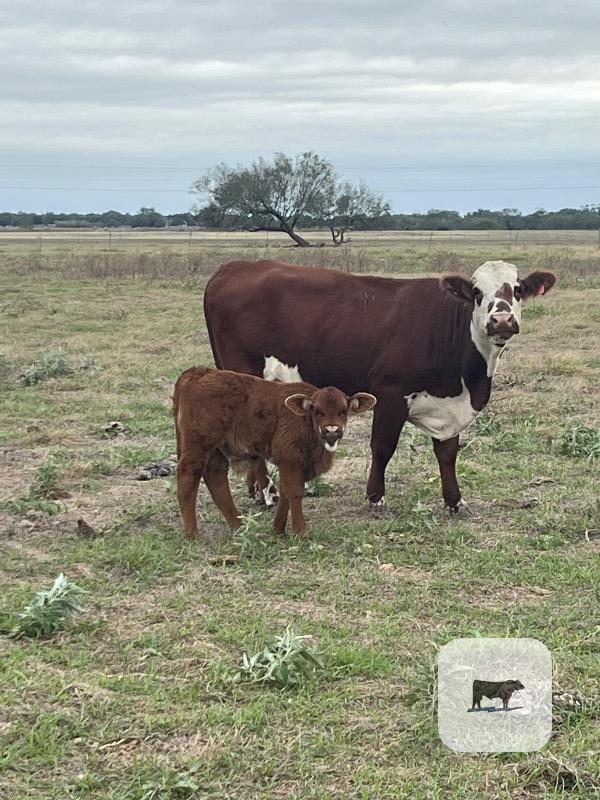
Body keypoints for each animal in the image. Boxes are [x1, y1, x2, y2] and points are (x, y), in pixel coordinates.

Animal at [173, 366, 376, 539]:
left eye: (344, 411)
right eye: (317, 410)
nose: (332, 430)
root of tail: (197, 372)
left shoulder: (291, 464)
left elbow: (285, 491)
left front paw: (278, 528)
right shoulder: (291, 460)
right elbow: (294, 492)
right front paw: (300, 532)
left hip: (217, 449)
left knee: (216, 477)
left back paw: (237, 526)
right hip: (198, 446)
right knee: (188, 476)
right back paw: (193, 533)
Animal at [203, 259, 555, 512]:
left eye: (518, 289)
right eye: (477, 293)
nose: (501, 321)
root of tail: (233, 267)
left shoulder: (449, 408)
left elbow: (447, 452)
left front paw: (454, 501)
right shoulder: (390, 394)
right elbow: (383, 447)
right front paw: (375, 497)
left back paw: (257, 490)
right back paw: (267, 493)